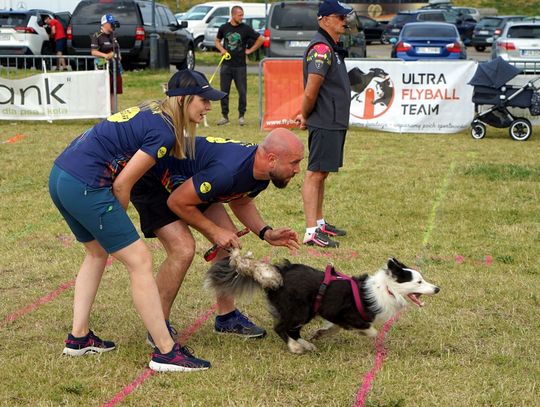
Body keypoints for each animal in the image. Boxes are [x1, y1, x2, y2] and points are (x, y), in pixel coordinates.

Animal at [205, 252, 440, 354]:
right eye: (419, 282)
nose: (437, 288)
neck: (387, 290)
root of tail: (279, 273)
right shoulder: (349, 314)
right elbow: (370, 329)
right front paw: (367, 334)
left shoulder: (335, 314)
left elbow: (334, 328)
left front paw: (320, 333)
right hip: (301, 310)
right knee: (281, 327)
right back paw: (295, 347)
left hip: (305, 311)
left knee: (292, 329)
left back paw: (305, 344)